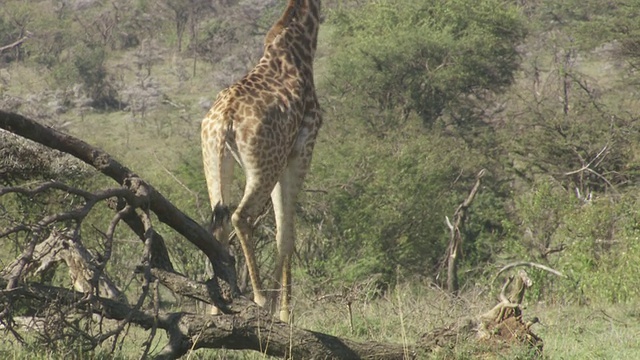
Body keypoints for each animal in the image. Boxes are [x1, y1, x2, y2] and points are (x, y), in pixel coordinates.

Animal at [200, 0, 320, 322]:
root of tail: (225, 120)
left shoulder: (283, 158)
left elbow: (282, 232)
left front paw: (282, 307)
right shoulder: (300, 151)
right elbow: (287, 233)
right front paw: (284, 311)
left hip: (215, 160)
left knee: (218, 221)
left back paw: (216, 305)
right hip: (264, 167)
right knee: (241, 216)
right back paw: (260, 298)